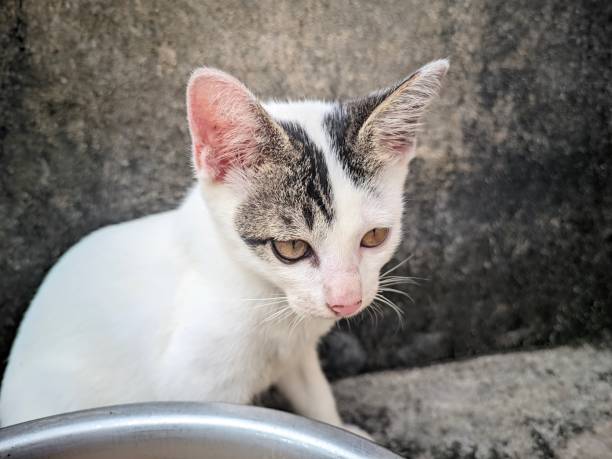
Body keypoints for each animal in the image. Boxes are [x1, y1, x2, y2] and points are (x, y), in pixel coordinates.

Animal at [1, 58, 450, 434]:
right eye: (291, 248)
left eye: (374, 238)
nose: (346, 301)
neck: (269, 299)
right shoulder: (194, 389)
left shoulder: (298, 353)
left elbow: (315, 393)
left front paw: (337, 426)